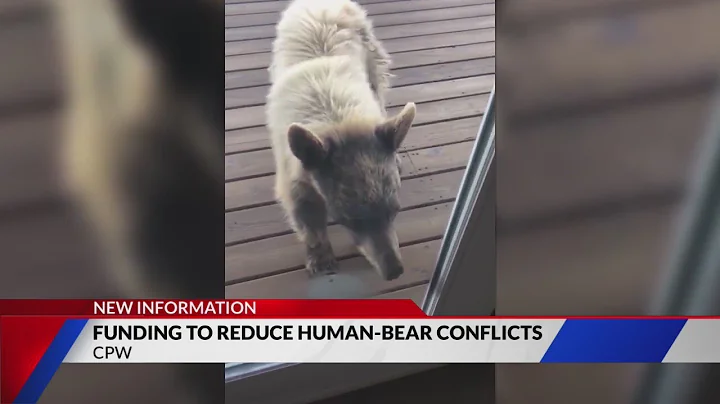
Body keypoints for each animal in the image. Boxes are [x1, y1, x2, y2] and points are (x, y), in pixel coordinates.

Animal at [267, 0, 417, 281]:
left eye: (395, 210)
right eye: (350, 220)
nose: (395, 271)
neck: (338, 122)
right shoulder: (295, 163)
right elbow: (303, 207)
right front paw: (319, 250)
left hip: (370, 53)